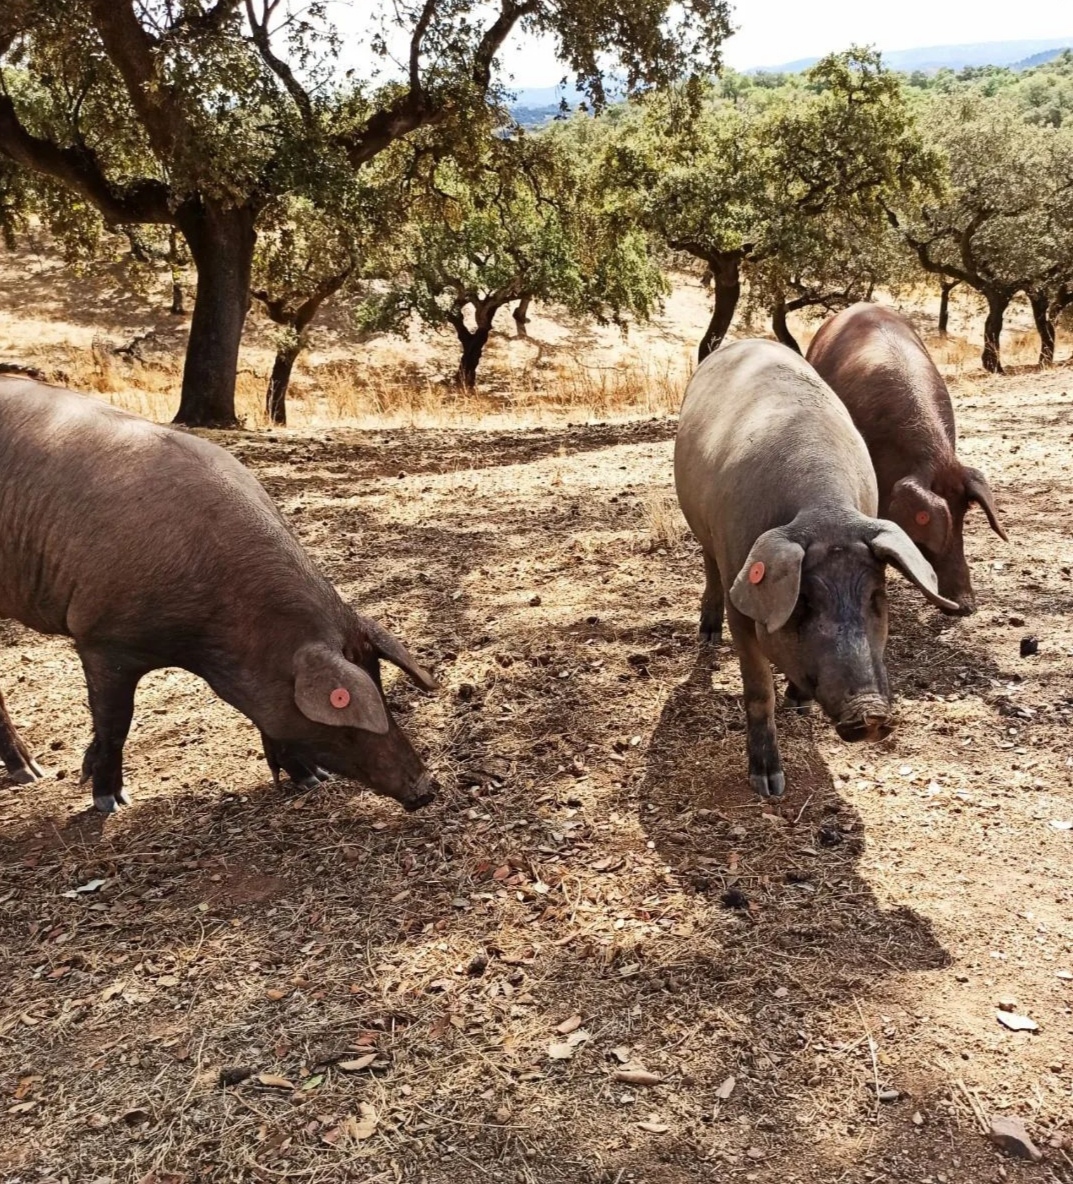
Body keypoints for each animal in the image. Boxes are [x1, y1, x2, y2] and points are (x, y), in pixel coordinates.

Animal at [0, 378, 438, 814]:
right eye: (344, 714)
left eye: (380, 683)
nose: (425, 788)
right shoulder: (101, 639)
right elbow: (115, 724)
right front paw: (111, 802)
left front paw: (312, 779)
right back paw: (32, 773)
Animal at [672, 340, 956, 795]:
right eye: (802, 604)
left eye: (876, 597)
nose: (871, 713)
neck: (825, 512)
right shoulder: (740, 595)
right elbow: (758, 690)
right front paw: (769, 785)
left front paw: (799, 704)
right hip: (702, 530)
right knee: (709, 567)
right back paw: (708, 636)